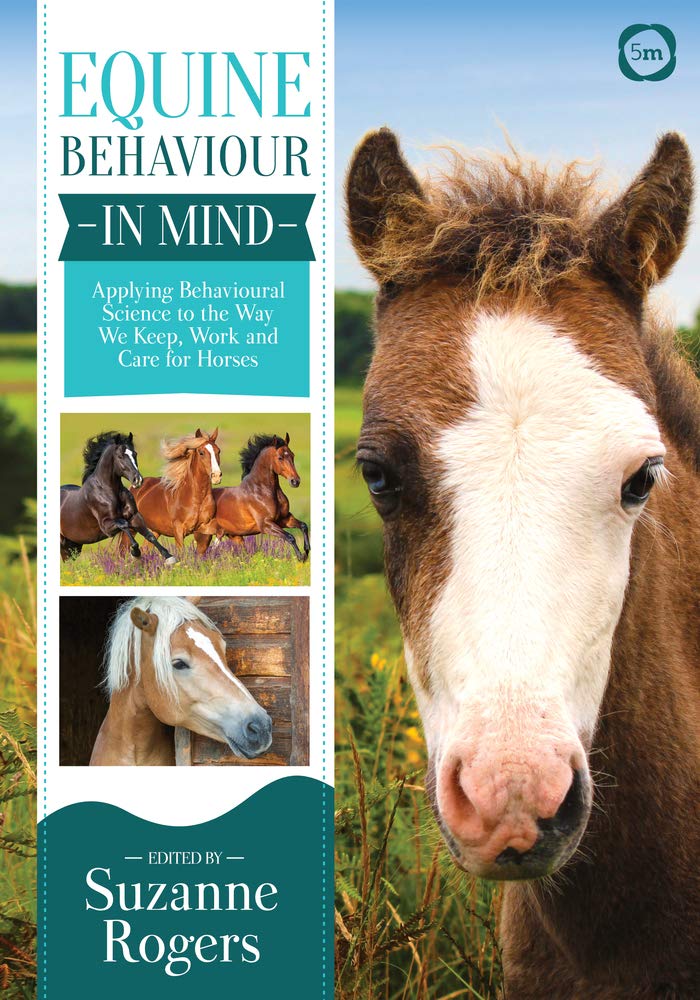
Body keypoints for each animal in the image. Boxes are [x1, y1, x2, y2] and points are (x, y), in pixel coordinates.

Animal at [60, 431, 177, 565]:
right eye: (120, 456)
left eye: (135, 454)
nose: (138, 480)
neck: (108, 491)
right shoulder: (106, 526)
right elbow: (124, 525)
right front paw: (135, 554)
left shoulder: (134, 516)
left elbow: (149, 535)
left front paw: (169, 557)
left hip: (74, 544)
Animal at [194, 433, 310, 562]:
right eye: (280, 457)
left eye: (292, 455)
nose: (295, 481)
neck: (261, 491)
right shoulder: (266, 525)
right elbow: (290, 537)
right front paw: (301, 557)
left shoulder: (283, 519)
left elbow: (303, 526)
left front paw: (307, 550)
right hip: (204, 536)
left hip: (234, 536)